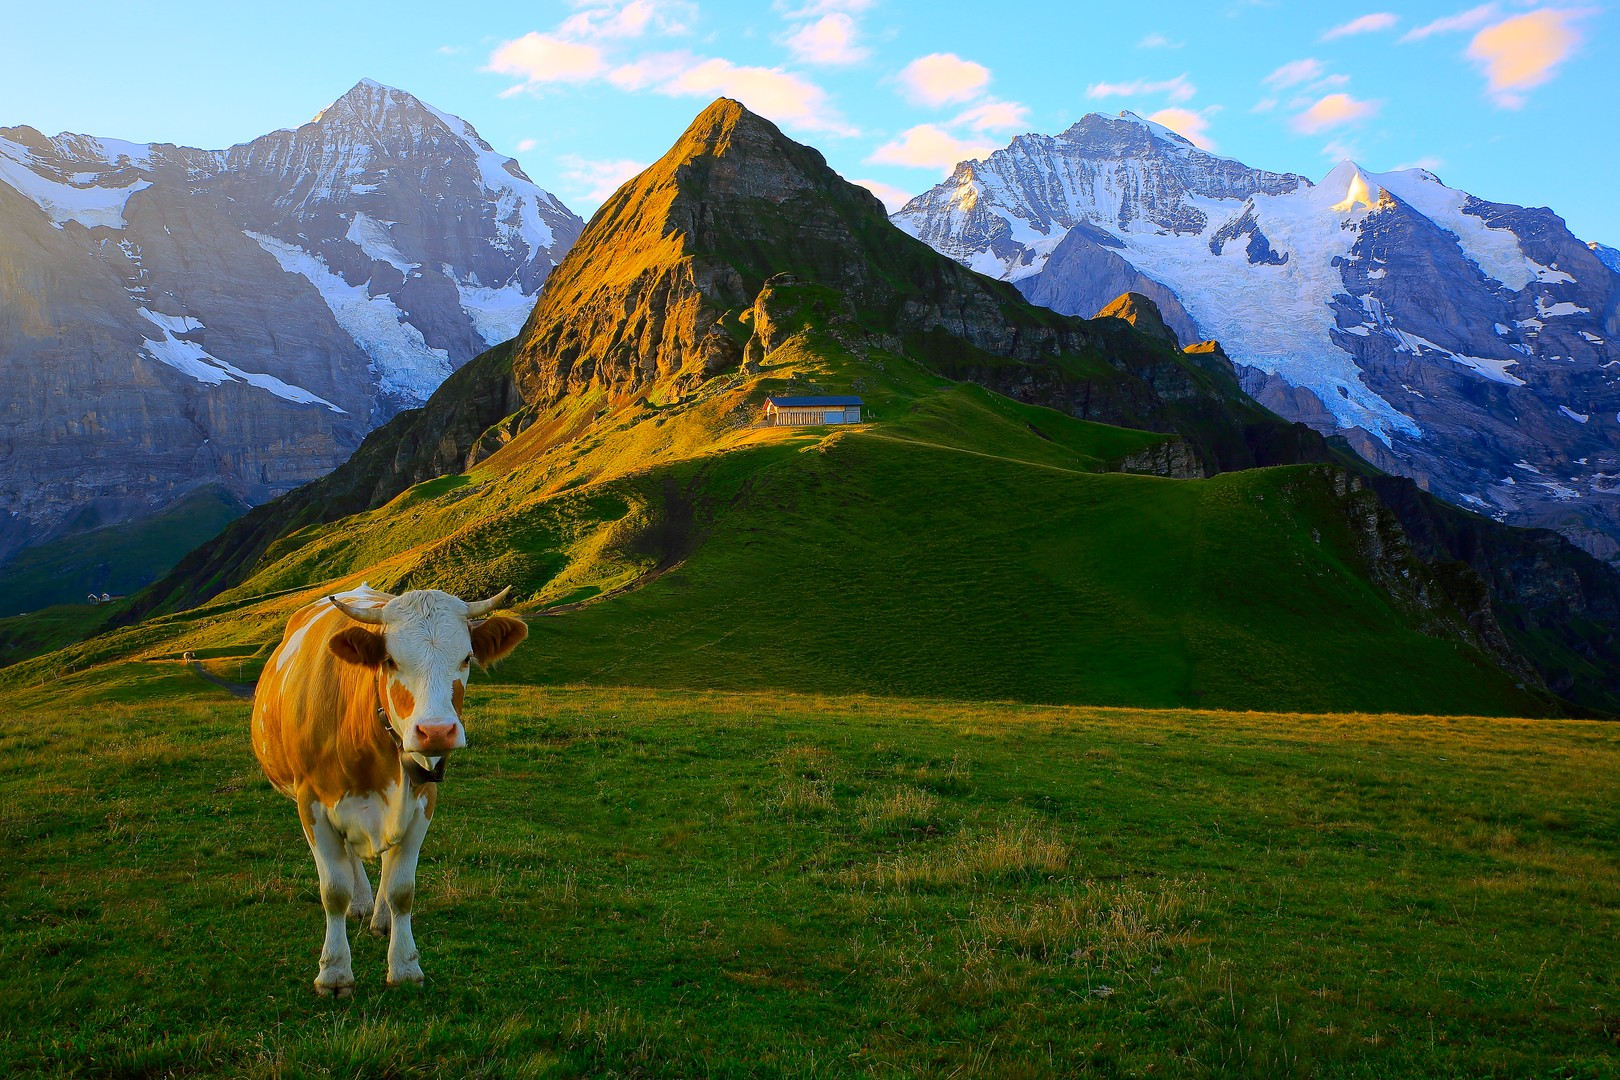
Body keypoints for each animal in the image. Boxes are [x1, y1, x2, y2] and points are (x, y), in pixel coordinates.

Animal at [252, 582, 528, 997]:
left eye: (466, 658)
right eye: (390, 661)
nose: (436, 731)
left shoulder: (422, 801)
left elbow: (402, 889)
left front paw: (405, 965)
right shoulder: (312, 803)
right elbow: (333, 890)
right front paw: (334, 972)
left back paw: (380, 916)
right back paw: (361, 904)